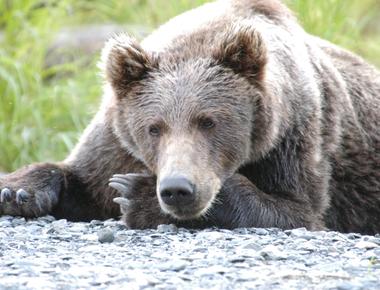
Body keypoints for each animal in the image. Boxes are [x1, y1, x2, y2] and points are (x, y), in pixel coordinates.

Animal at [0, 0, 380, 234]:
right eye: (154, 128)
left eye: (209, 121)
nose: (177, 189)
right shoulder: (115, 140)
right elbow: (85, 178)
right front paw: (15, 190)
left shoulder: (294, 135)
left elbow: (297, 210)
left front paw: (134, 194)